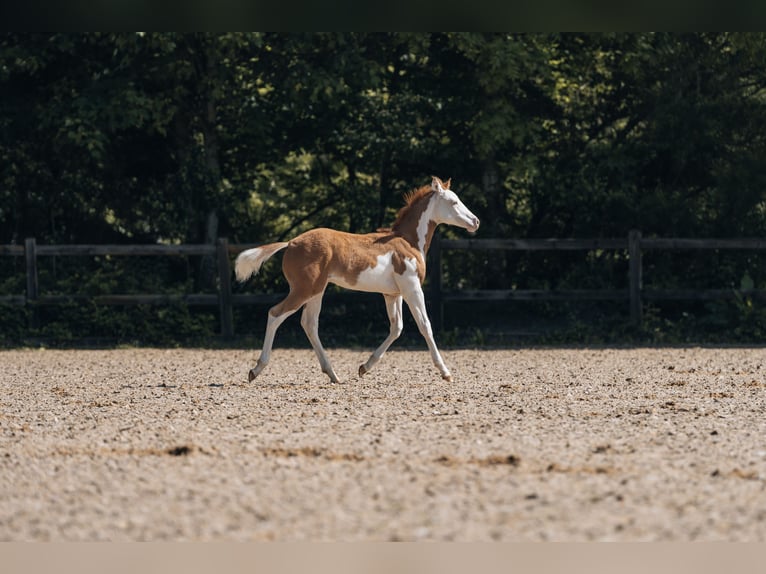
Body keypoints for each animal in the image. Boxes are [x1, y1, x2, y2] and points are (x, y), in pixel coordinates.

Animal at [237, 178, 484, 384]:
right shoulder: (412, 287)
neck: (408, 242)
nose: (476, 221)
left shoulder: (392, 294)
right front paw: (446, 372)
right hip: (304, 290)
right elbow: (425, 325)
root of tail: (290, 243)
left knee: (309, 323)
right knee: (275, 314)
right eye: (453, 202)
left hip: (317, 291)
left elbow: (397, 327)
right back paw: (256, 370)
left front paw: (364, 367)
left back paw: (333, 374)